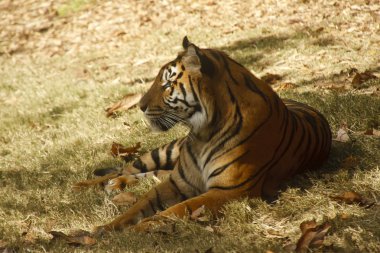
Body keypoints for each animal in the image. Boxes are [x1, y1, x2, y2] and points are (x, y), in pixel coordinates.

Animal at [75, 36, 332, 232]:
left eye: (166, 85)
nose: (140, 106)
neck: (203, 133)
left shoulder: (230, 191)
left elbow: (176, 209)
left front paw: (140, 228)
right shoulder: (178, 182)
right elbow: (139, 205)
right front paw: (104, 229)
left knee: (150, 173)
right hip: (165, 151)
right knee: (126, 169)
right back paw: (90, 185)